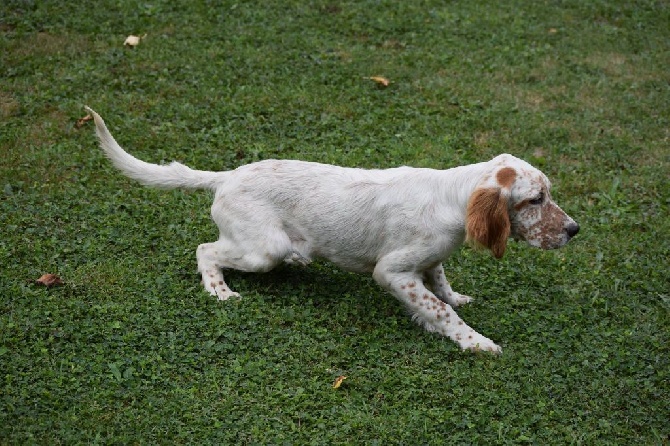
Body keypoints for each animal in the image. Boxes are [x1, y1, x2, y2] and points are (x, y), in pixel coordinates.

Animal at [85, 106, 576, 354]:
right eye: (536, 200)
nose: (574, 229)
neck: (451, 198)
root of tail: (227, 176)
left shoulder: (428, 261)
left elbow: (441, 287)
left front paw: (457, 298)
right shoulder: (391, 272)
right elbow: (437, 309)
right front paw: (475, 341)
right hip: (264, 249)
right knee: (206, 249)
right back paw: (220, 291)